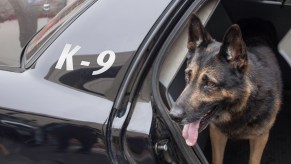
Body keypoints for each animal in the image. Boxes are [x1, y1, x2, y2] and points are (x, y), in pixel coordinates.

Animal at [170, 14, 282, 164]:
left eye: (210, 83)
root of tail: (256, 18)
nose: (172, 116)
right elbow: (217, 158)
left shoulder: (261, 138)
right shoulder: (216, 134)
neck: (243, 105)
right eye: (188, 75)